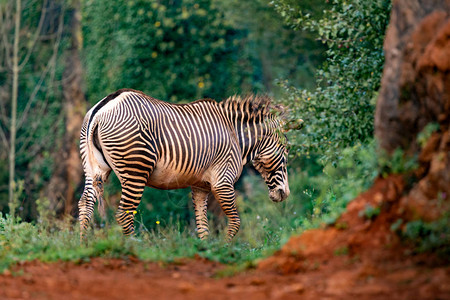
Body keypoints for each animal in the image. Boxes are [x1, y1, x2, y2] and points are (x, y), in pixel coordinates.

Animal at [78, 89, 292, 241]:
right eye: (286, 151)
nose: (284, 194)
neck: (235, 136)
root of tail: (102, 108)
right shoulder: (222, 182)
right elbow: (235, 222)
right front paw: (225, 247)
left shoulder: (200, 186)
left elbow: (202, 226)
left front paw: (206, 251)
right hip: (135, 171)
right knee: (124, 214)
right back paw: (133, 247)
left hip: (93, 168)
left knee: (85, 204)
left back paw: (83, 244)